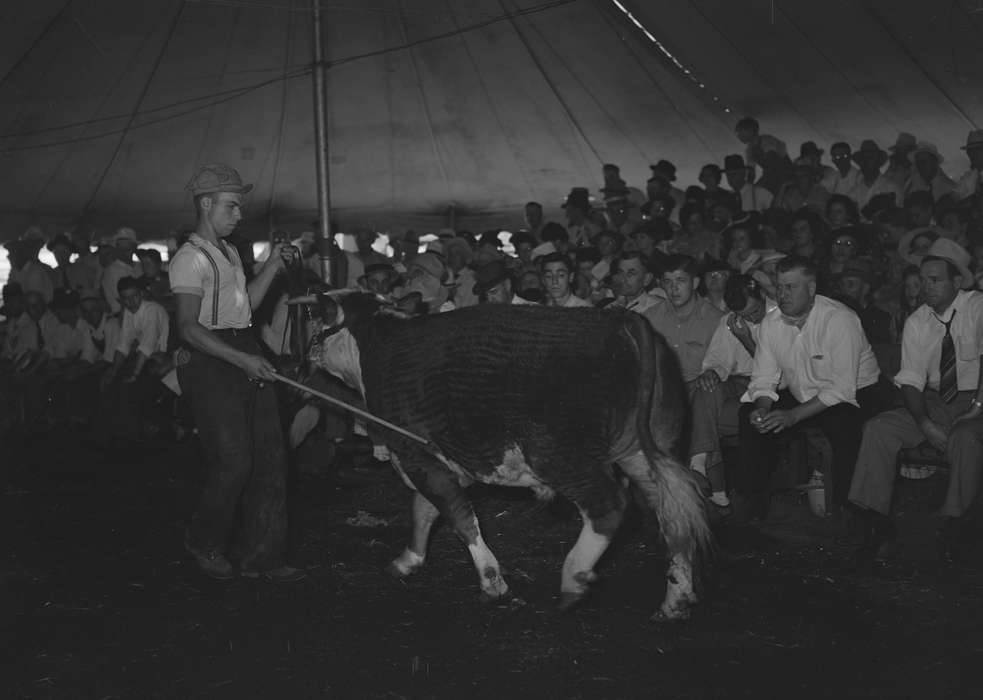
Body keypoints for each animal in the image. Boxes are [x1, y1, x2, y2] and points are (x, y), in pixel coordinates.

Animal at [306, 292, 708, 620]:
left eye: (316, 321)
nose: (304, 352)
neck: (379, 345)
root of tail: (623, 320)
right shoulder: (443, 459)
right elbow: (425, 510)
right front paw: (408, 560)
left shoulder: (414, 451)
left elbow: (458, 515)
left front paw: (491, 583)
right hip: (644, 451)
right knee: (672, 514)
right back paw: (676, 599)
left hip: (562, 455)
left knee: (608, 506)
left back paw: (573, 580)